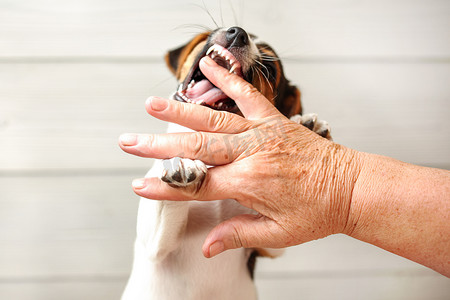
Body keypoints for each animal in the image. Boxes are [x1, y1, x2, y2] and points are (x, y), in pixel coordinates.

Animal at [122, 26, 330, 300]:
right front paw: (180, 161)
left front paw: (306, 127)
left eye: (270, 68)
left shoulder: (267, 246)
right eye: (227, 29)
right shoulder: (154, 244)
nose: (238, 34)